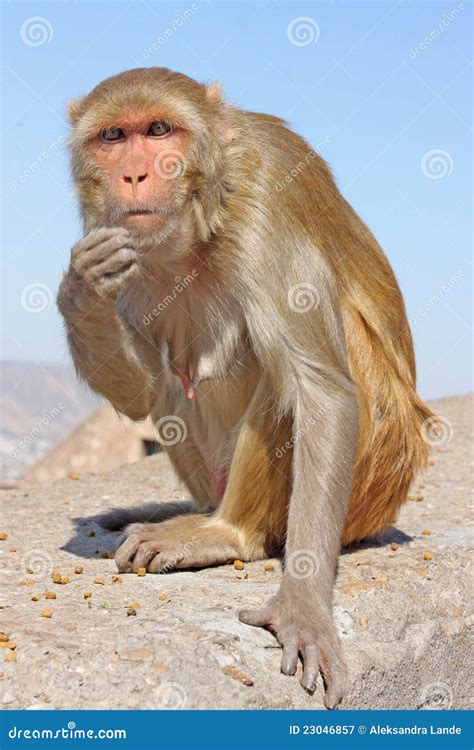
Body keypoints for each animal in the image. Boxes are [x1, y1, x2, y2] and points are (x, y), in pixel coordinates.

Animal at [57, 67, 432, 708]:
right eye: (113, 137)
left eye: (159, 130)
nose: (133, 174)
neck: (207, 204)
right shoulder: (113, 232)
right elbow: (142, 394)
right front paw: (81, 291)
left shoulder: (265, 201)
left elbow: (320, 389)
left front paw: (303, 607)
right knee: (175, 380)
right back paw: (187, 511)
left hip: (374, 475)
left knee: (293, 372)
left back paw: (225, 533)